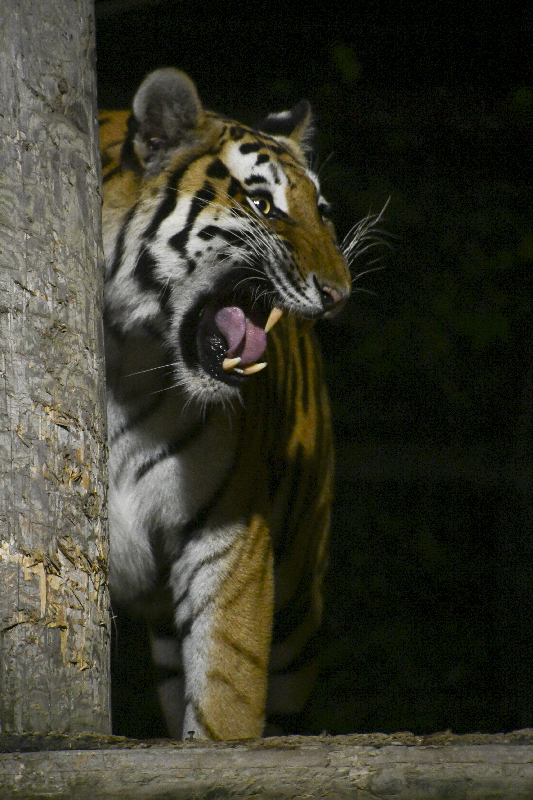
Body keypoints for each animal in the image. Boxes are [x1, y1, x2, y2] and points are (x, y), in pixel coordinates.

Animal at [101, 67, 354, 736]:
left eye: (321, 213)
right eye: (262, 205)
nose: (340, 293)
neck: (124, 363)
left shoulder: (228, 535)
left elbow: (226, 702)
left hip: (295, 607)